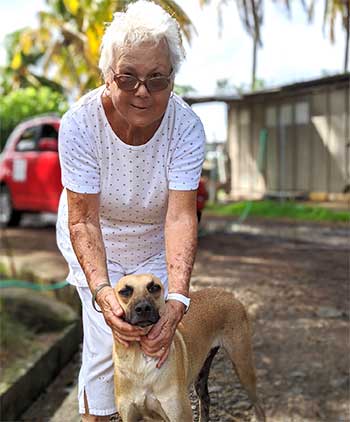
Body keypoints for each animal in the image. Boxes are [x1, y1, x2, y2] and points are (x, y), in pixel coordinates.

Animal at [113, 274, 266, 422]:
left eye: (154, 287)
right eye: (125, 291)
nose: (143, 308)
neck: (141, 362)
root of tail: (228, 293)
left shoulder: (180, 415)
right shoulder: (131, 415)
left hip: (243, 367)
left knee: (259, 407)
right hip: (201, 376)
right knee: (206, 400)